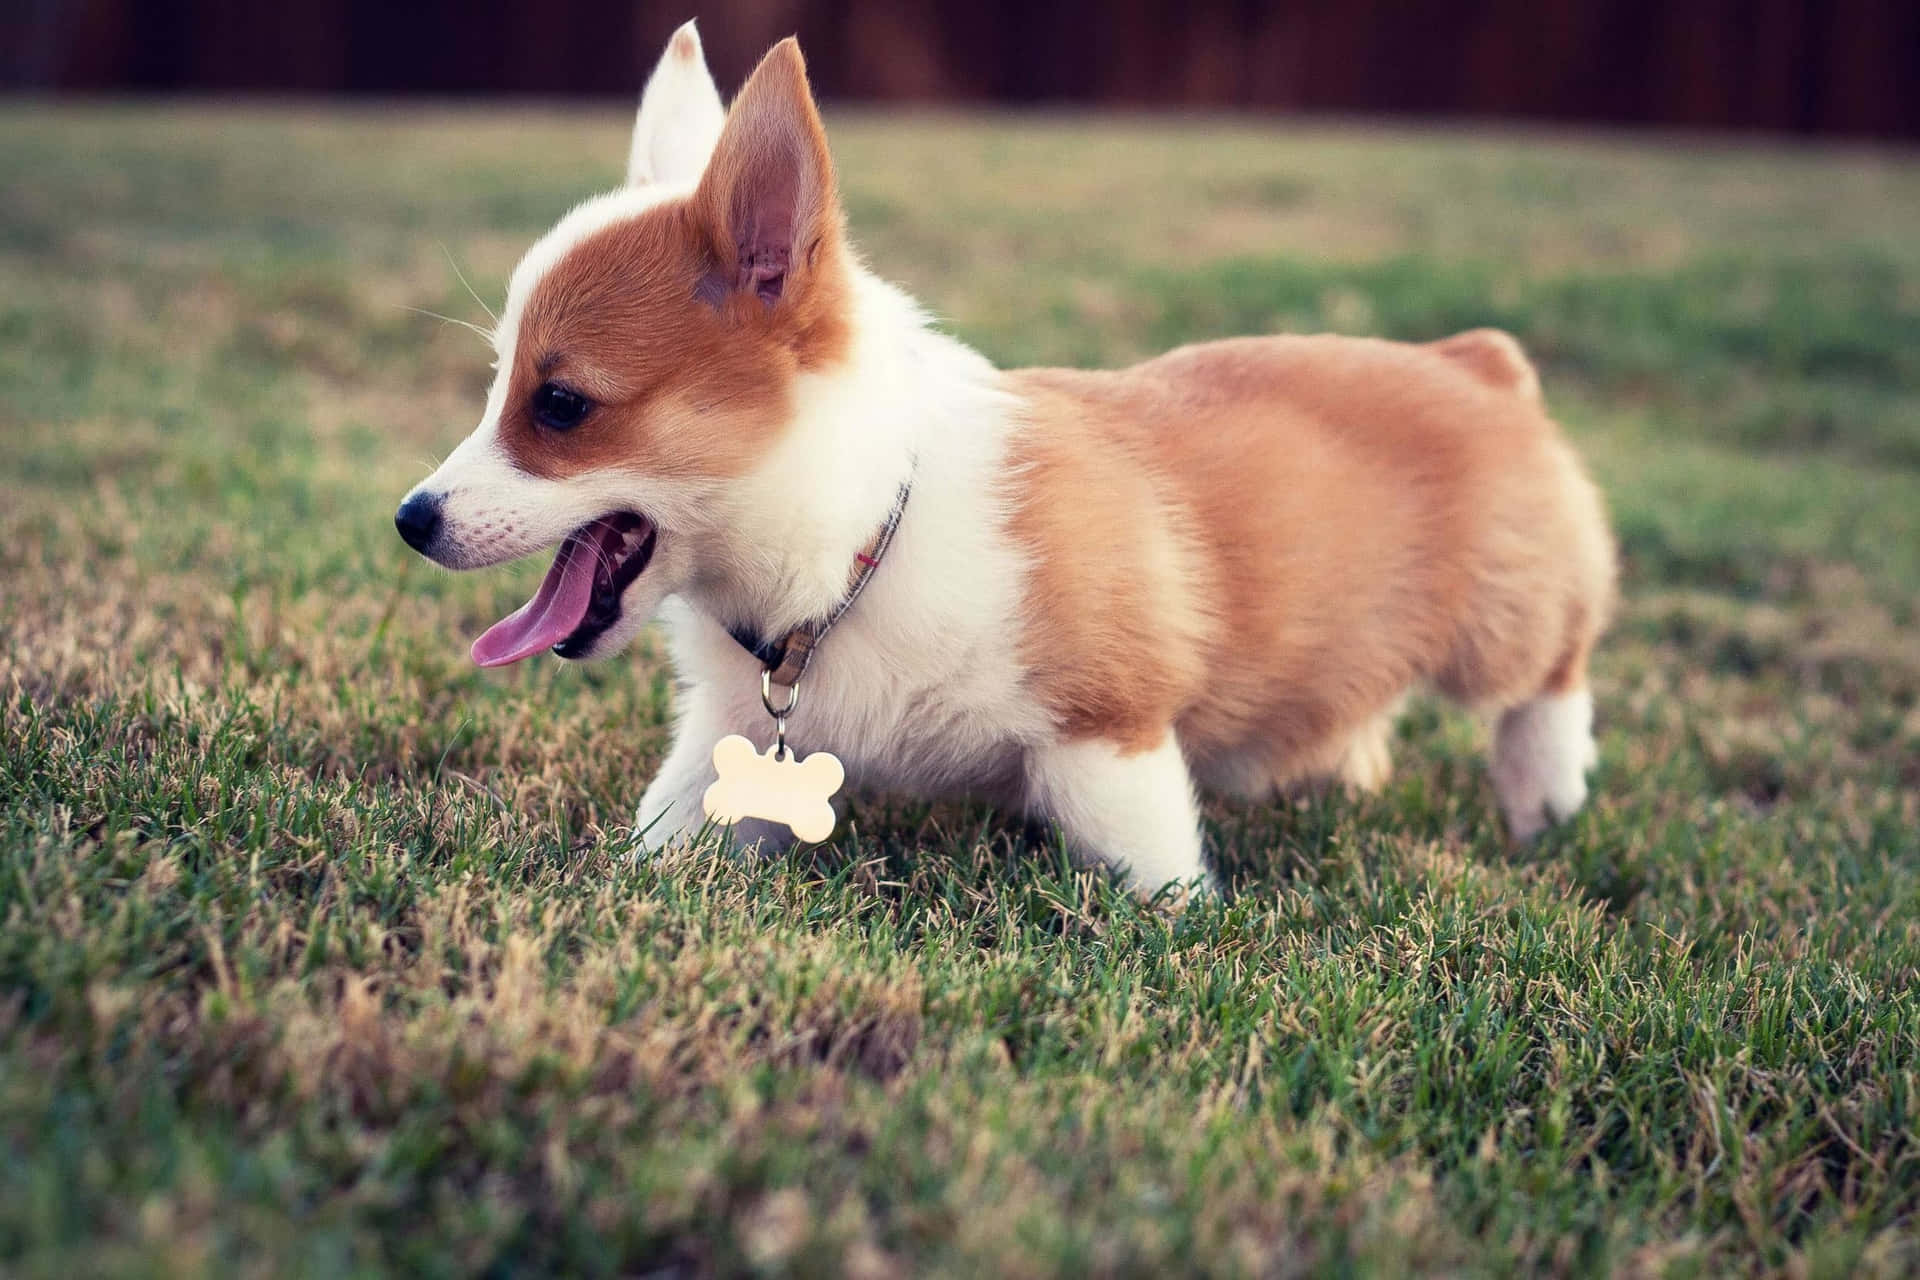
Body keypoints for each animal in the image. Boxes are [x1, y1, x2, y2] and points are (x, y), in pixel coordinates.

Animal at [397, 22, 1612, 901]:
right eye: (499, 383)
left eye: (561, 405)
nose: (411, 518)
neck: (856, 546)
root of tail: (1477, 363)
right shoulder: (725, 743)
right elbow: (665, 835)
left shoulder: (1106, 739)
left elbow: (1152, 874)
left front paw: (1181, 927)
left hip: (1506, 620)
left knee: (1550, 676)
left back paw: (1547, 802)